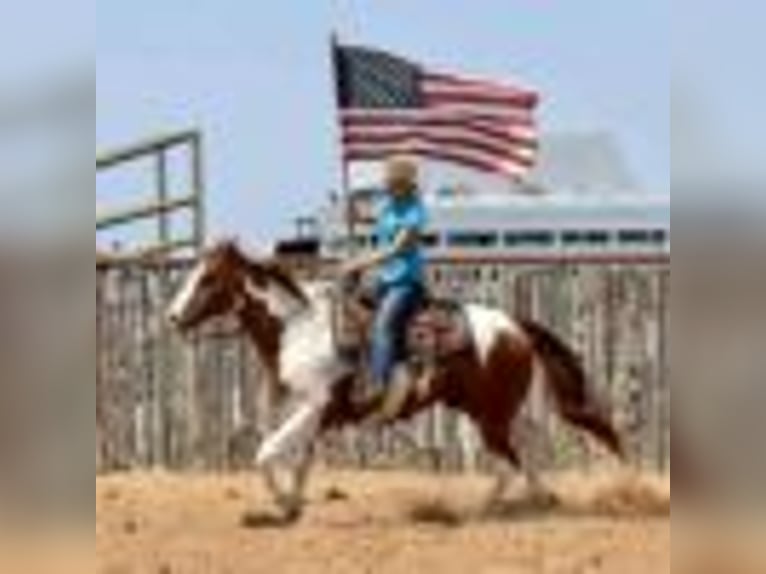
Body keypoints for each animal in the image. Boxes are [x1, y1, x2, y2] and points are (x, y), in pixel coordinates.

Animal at [167, 240, 624, 522]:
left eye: (208, 278)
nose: (173, 316)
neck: (299, 328)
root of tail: (514, 324)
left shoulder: (313, 407)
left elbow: (265, 453)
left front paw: (281, 503)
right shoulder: (310, 414)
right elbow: (298, 462)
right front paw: (292, 507)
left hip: (489, 417)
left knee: (509, 463)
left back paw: (487, 509)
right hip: (485, 413)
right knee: (524, 451)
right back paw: (541, 498)